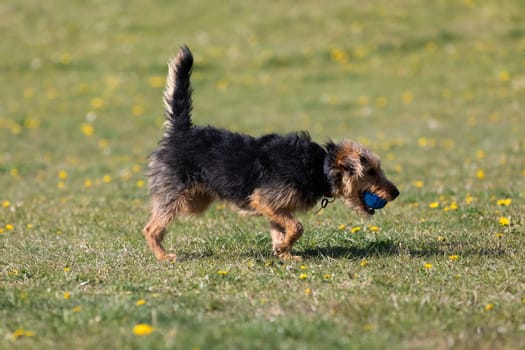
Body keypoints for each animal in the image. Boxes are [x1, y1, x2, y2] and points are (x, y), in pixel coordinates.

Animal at [143, 45, 398, 262]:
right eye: (371, 171)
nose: (396, 193)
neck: (319, 166)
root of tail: (181, 131)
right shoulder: (264, 199)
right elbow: (297, 227)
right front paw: (284, 248)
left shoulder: (277, 207)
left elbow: (282, 229)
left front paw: (283, 252)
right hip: (175, 193)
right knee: (150, 228)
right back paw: (163, 256)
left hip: (195, 200)